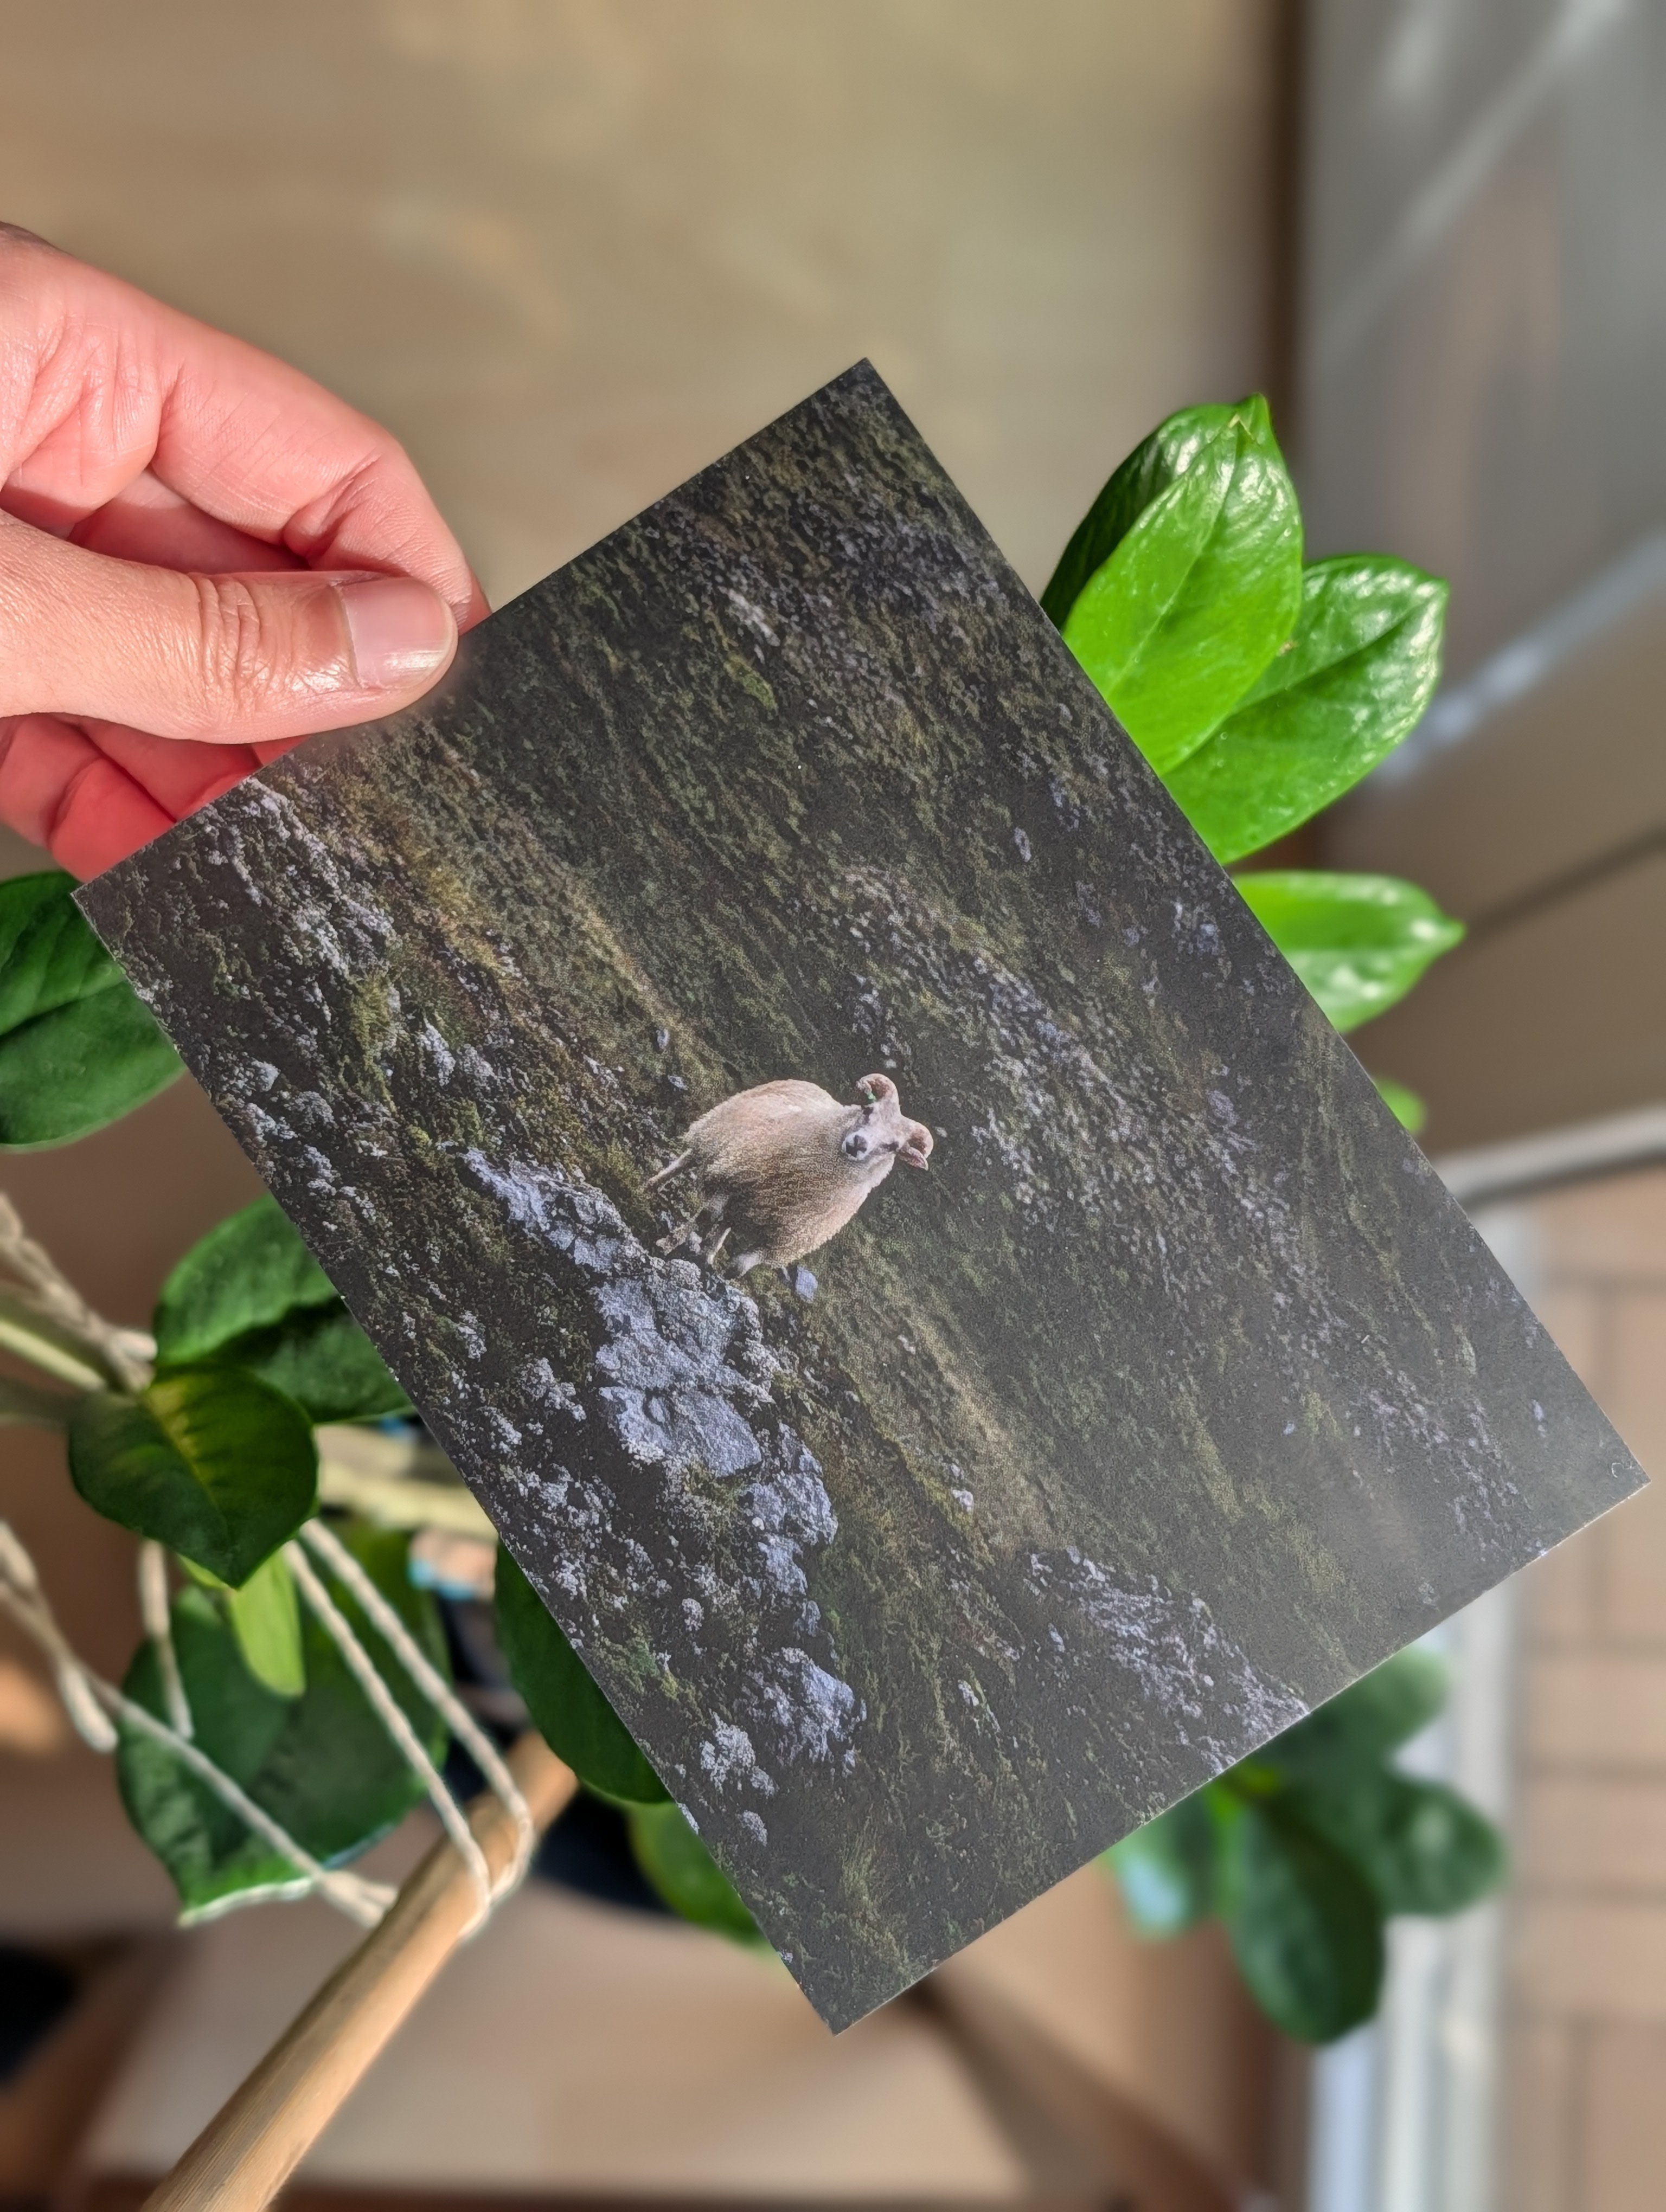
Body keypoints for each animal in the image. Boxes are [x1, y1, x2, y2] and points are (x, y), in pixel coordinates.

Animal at [647, 1072, 932, 1280]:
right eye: (868, 1110)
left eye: (893, 1147)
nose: (857, 1145)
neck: (801, 1183)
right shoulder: (732, 1176)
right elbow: (707, 1216)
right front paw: (666, 1244)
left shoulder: (781, 1242)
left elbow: (738, 1268)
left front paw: (717, 1277)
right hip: (715, 1136)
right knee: (687, 1160)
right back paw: (651, 1187)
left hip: (748, 1203)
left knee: (727, 1222)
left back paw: (707, 1256)